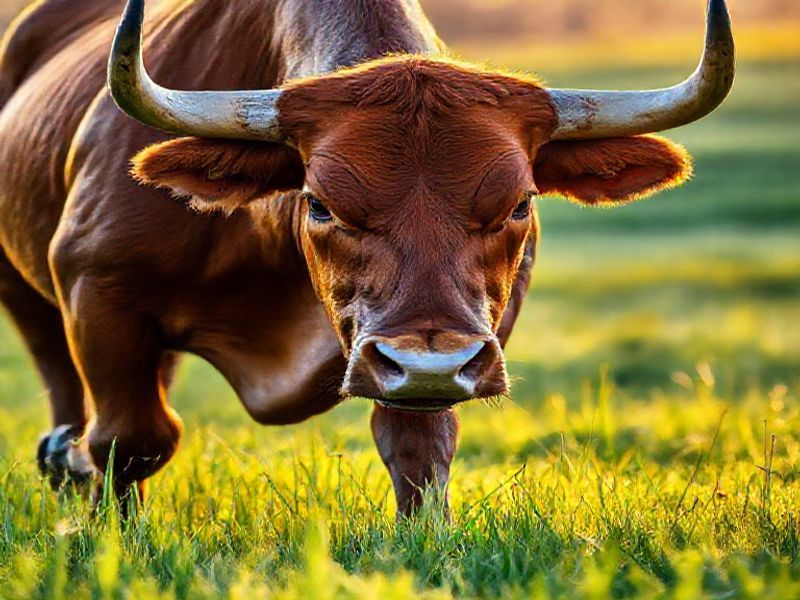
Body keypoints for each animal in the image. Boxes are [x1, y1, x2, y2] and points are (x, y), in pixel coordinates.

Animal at [0, 0, 733, 516]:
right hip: (25, 291)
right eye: (320, 203)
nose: (428, 363)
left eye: (520, 202)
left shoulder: (450, 351)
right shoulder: (100, 291)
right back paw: (64, 466)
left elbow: (420, 447)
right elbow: (131, 439)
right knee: (65, 389)